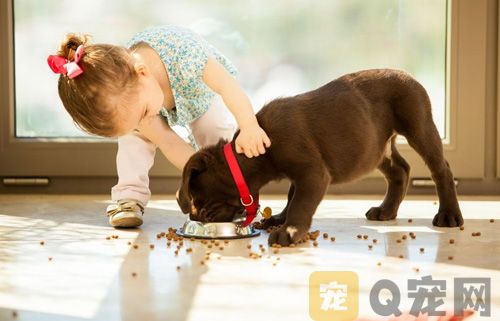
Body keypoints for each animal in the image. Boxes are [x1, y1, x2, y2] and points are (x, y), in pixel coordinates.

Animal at [177, 69, 464, 245]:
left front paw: (289, 230)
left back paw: (448, 215)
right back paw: (386, 210)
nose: (196, 217)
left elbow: (301, 203)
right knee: (400, 170)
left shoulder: (312, 173)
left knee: (441, 169)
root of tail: (408, 74)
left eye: (198, 198)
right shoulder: (300, 175)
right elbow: (292, 196)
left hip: (419, 126)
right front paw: (280, 219)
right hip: (375, 147)